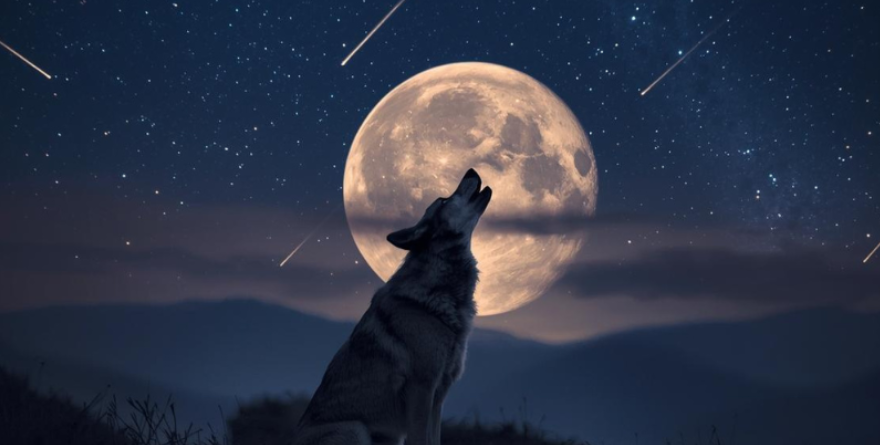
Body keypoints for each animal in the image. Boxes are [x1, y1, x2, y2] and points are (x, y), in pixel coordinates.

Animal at [293, 169, 492, 445]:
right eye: (443, 200)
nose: (471, 170)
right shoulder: (422, 389)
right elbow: (420, 439)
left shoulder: (438, 398)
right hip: (356, 428)